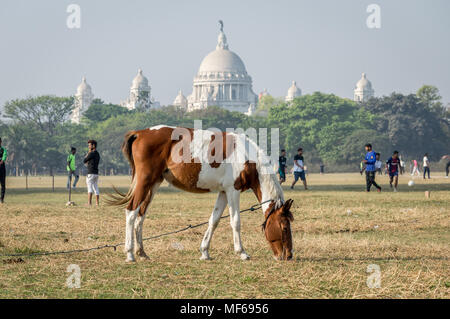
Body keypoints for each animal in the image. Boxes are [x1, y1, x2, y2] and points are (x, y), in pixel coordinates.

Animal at [107, 126, 294, 264]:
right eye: (285, 227)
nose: (288, 256)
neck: (247, 156)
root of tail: (140, 133)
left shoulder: (223, 192)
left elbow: (214, 220)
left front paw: (205, 252)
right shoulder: (233, 191)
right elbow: (235, 222)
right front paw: (242, 252)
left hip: (153, 184)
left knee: (141, 215)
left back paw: (142, 252)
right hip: (144, 182)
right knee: (131, 212)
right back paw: (130, 254)